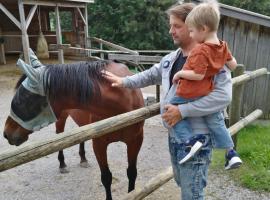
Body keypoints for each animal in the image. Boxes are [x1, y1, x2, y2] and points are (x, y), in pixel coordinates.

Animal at [3, 48, 144, 200]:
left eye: (23, 98)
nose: (6, 133)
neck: (122, 105)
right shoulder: (99, 144)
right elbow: (106, 177)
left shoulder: (135, 141)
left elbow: (132, 172)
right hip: (61, 120)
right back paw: (62, 164)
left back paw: (83, 159)